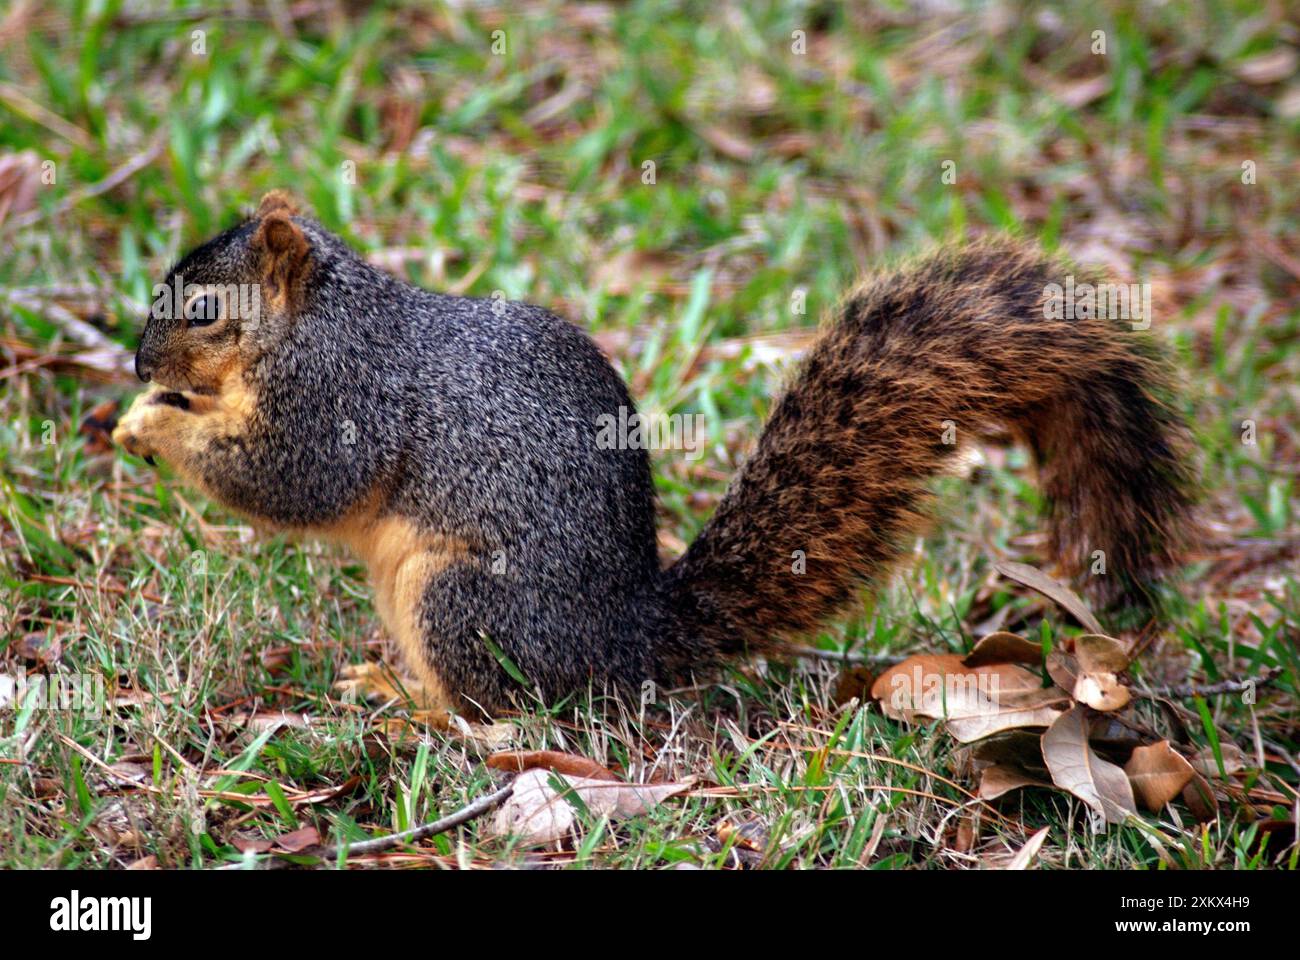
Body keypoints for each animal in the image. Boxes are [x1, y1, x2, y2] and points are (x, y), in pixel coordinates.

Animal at [114, 191, 1196, 723]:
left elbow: (291, 480)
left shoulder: (339, 400)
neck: (316, 322)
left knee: (499, 716)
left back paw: (410, 706)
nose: (137, 362)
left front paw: (151, 426)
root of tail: (621, 644)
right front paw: (140, 412)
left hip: (457, 598)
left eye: (203, 309)